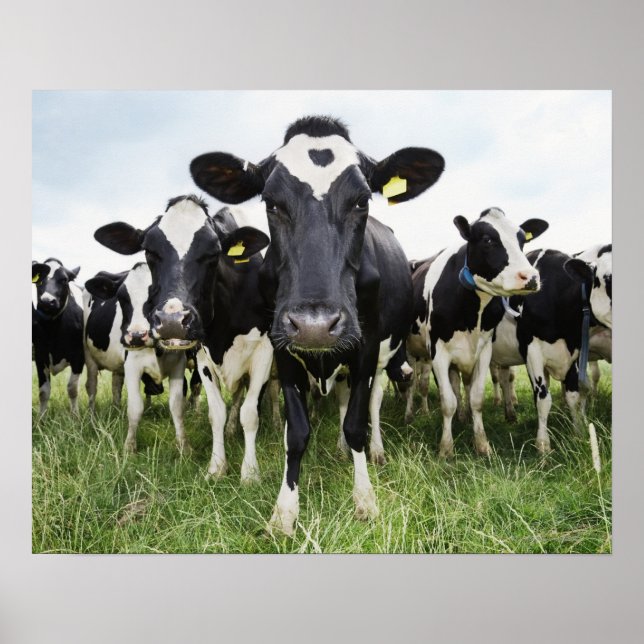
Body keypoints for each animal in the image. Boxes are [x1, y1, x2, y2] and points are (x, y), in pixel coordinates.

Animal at [32, 258, 84, 416]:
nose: (47, 301)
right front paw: (41, 418)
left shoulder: (79, 356)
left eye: (64, 280)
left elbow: (72, 388)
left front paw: (75, 416)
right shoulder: (40, 355)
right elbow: (43, 391)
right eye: (38, 280)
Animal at [83, 262, 195, 453]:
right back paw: (92, 418)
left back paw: (117, 411)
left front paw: (184, 447)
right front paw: (129, 448)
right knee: (91, 387)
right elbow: (135, 407)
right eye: (121, 298)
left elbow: (177, 406)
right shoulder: (132, 365)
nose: (136, 336)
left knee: (116, 385)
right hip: (89, 356)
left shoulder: (178, 365)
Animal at [190, 115, 445, 535]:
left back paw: (373, 451)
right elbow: (296, 431)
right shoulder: (281, 347)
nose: (315, 325)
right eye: (271, 203)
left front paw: (365, 500)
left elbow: (356, 423)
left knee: (371, 404)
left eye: (362, 200)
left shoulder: (366, 346)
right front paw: (284, 512)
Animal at [422, 208, 548, 458]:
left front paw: (481, 444)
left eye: (522, 240)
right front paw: (446, 449)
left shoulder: (484, 350)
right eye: (487, 240)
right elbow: (447, 401)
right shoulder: (438, 352)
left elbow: (477, 398)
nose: (531, 277)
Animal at [491, 248, 601, 453]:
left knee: (504, 379)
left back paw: (510, 414)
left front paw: (578, 434)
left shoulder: (574, 352)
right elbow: (543, 399)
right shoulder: (531, 351)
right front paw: (543, 446)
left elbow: (573, 395)